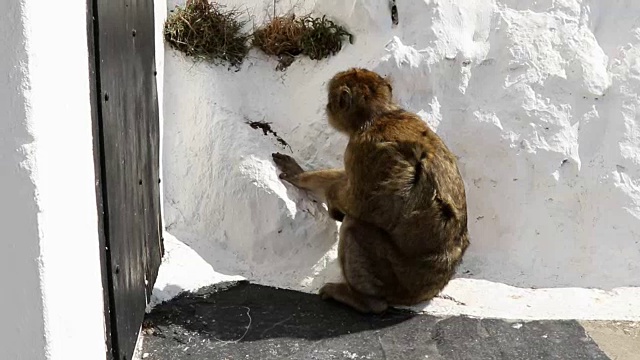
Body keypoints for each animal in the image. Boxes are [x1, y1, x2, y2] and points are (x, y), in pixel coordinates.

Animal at [272, 67, 468, 316]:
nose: (327, 107)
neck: (380, 116)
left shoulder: (359, 148)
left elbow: (361, 203)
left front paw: (323, 195)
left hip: (399, 278)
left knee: (354, 226)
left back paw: (365, 301)